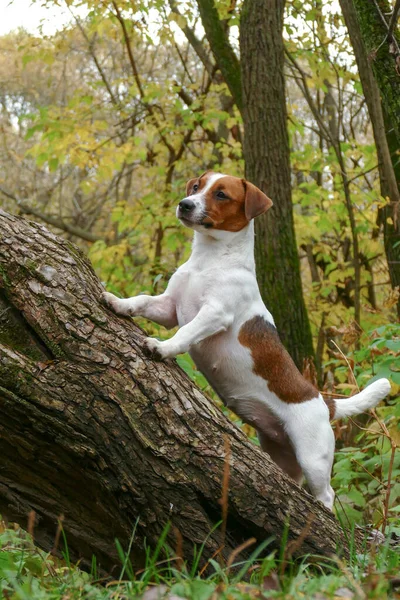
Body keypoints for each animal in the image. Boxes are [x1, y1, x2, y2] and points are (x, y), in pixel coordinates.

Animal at [102, 171, 390, 508]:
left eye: (221, 194)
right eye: (197, 187)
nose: (185, 204)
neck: (209, 259)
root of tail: (323, 401)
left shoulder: (215, 313)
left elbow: (185, 333)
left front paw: (162, 347)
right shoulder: (169, 307)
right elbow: (143, 300)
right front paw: (119, 303)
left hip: (313, 458)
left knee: (326, 495)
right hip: (283, 456)